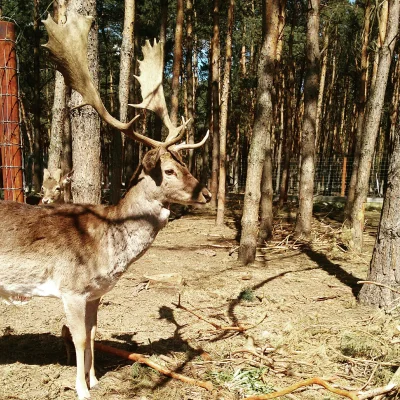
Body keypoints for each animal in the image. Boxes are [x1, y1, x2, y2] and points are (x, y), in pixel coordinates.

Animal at [0, 10, 212, 398]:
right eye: (169, 170)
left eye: (187, 164)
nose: (205, 194)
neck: (107, 246)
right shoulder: (70, 288)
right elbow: (80, 339)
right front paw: (81, 390)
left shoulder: (96, 292)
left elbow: (96, 332)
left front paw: (96, 379)